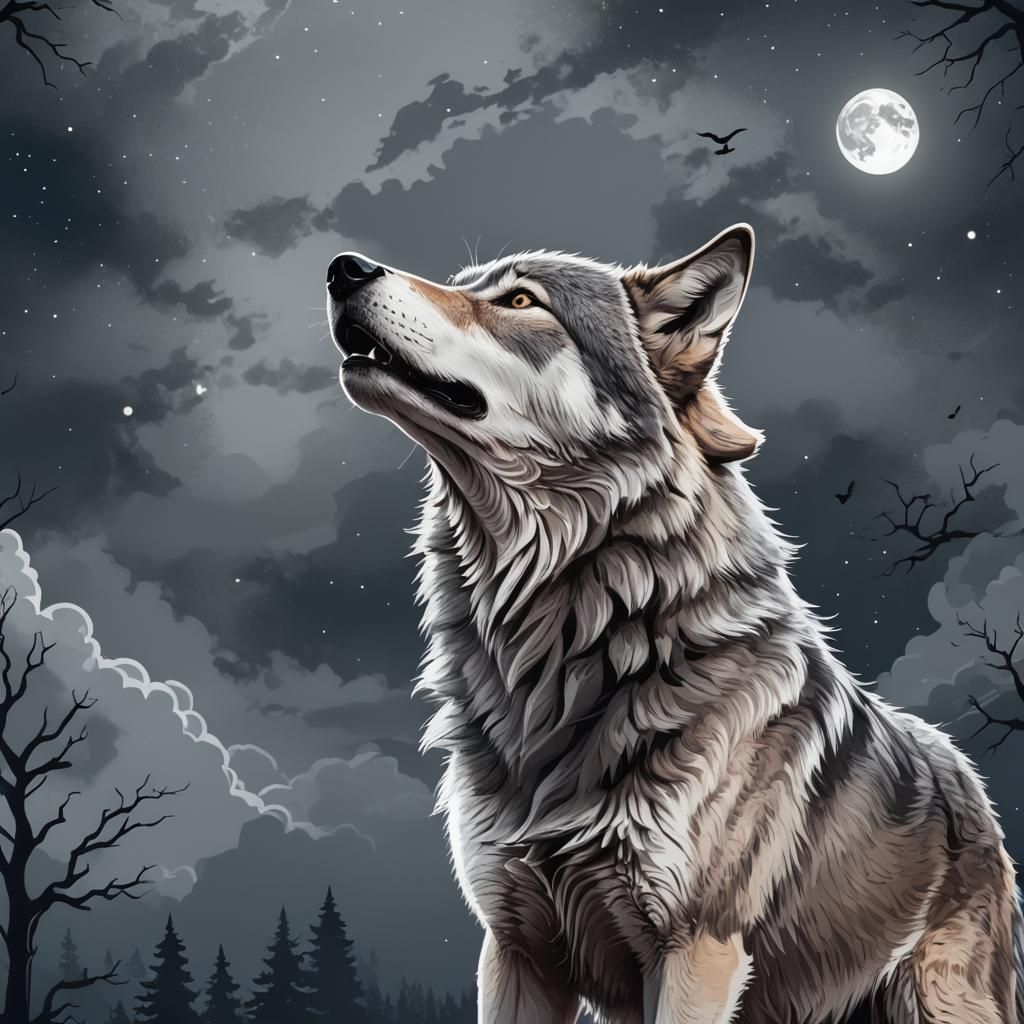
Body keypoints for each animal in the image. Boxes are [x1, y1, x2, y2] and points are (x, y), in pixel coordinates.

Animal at [326, 226, 1024, 1023]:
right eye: (462, 283)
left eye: (521, 300)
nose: (343, 268)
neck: (571, 656)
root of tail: (965, 776)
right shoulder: (516, 949)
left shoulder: (698, 950)